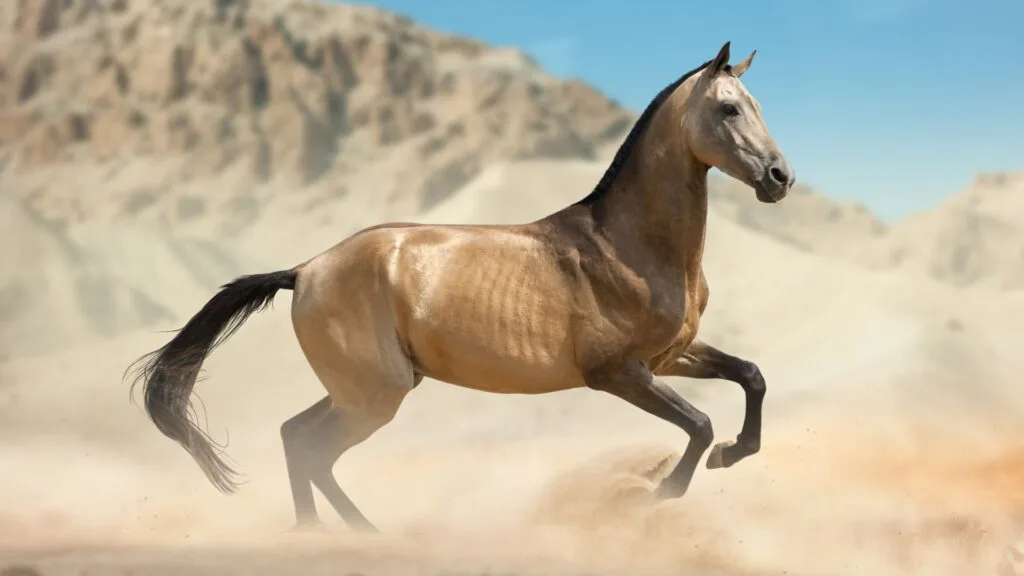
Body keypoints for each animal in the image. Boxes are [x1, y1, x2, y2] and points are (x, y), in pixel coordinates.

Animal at [128, 40, 794, 532]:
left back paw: (335, 534)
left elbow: (752, 375)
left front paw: (734, 452)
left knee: (297, 438)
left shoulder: (669, 357)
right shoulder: (618, 373)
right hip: (373, 395)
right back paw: (356, 535)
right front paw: (661, 489)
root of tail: (303, 270)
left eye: (757, 104)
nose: (779, 177)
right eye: (729, 109)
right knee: (311, 448)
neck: (624, 245)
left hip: (363, 388)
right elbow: (699, 423)